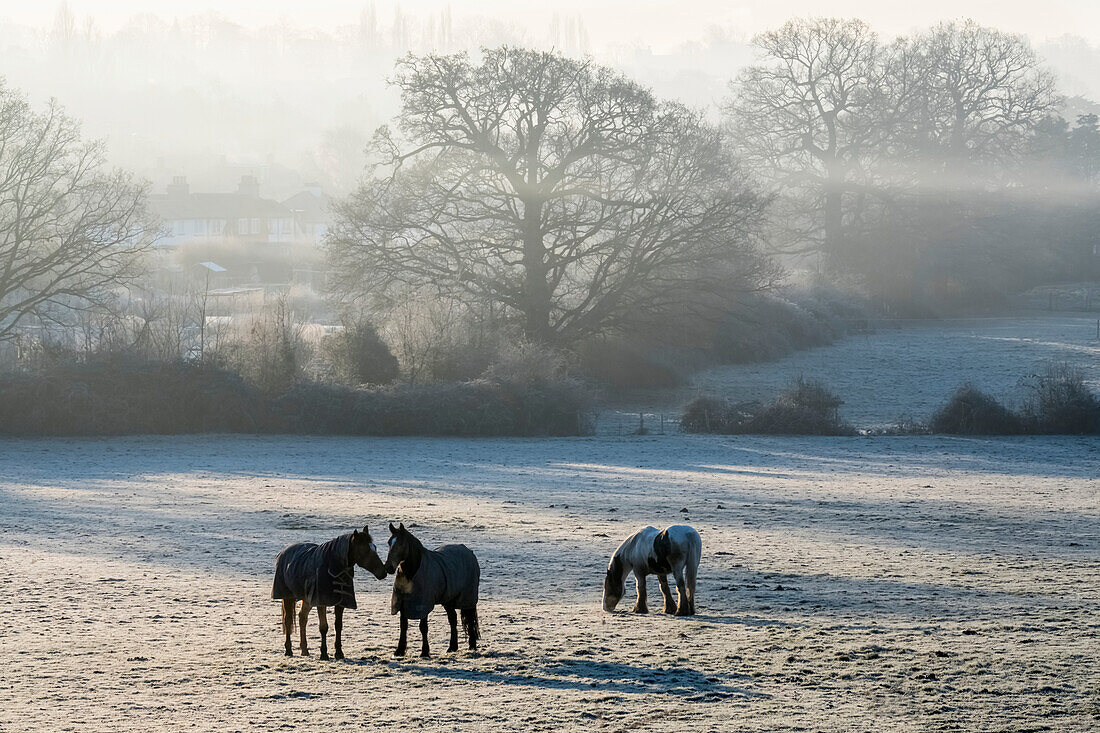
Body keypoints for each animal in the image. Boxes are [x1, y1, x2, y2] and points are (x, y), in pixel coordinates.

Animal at [387, 519, 481, 655]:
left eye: (400, 543)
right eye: (389, 543)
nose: (388, 567)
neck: (410, 575)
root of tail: (469, 551)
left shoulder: (423, 604)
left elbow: (423, 627)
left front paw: (425, 652)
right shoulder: (402, 603)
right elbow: (403, 626)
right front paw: (399, 650)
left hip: (468, 598)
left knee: (469, 619)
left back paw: (472, 645)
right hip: (448, 600)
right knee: (453, 619)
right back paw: (452, 647)